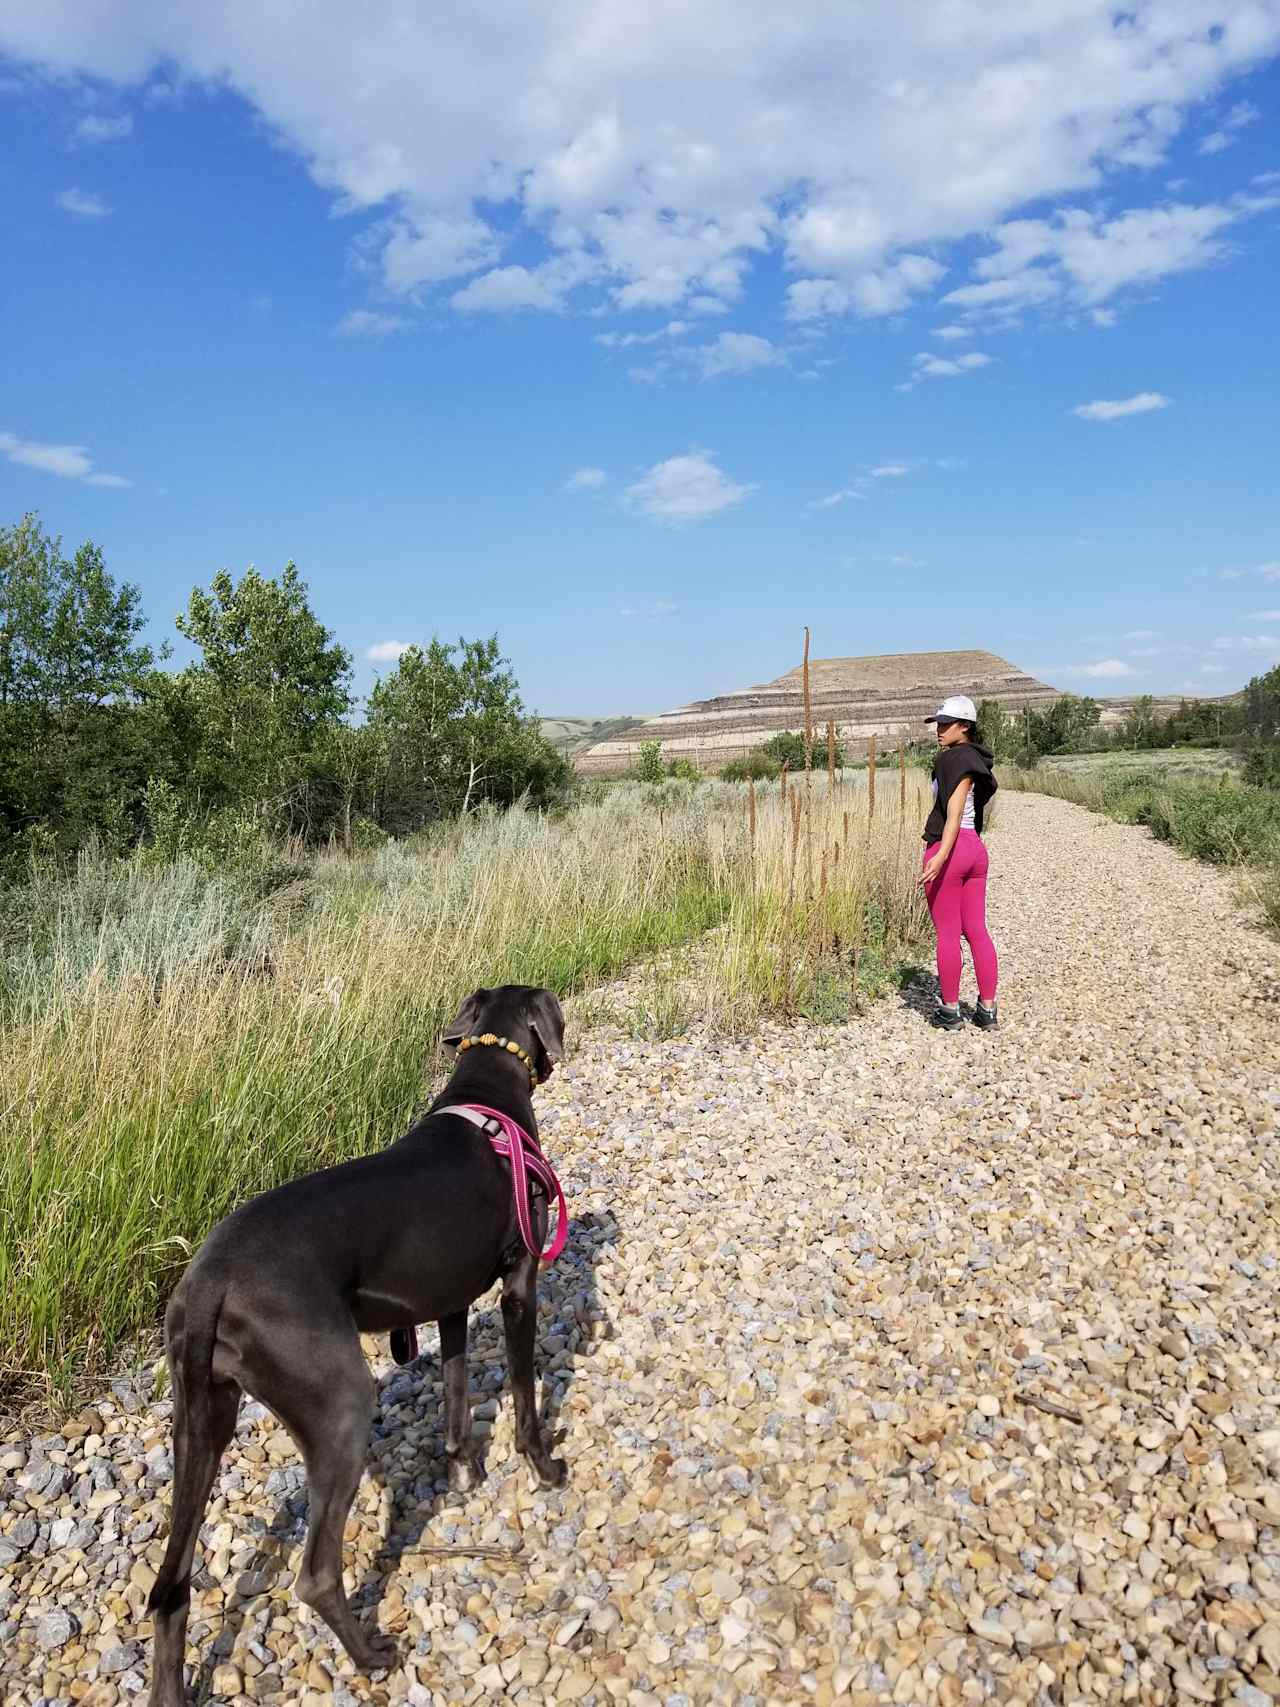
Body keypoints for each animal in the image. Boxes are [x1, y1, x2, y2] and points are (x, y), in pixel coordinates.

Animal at [145, 990, 566, 1707]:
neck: (487, 1091)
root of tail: (208, 1283)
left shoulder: (448, 1301)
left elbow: (455, 1396)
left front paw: (462, 1472)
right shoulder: (519, 1282)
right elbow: (524, 1397)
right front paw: (542, 1467)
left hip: (200, 1417)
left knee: (169, 1589)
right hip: (339, 1401)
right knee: (315, 1573)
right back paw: (371, 1655)